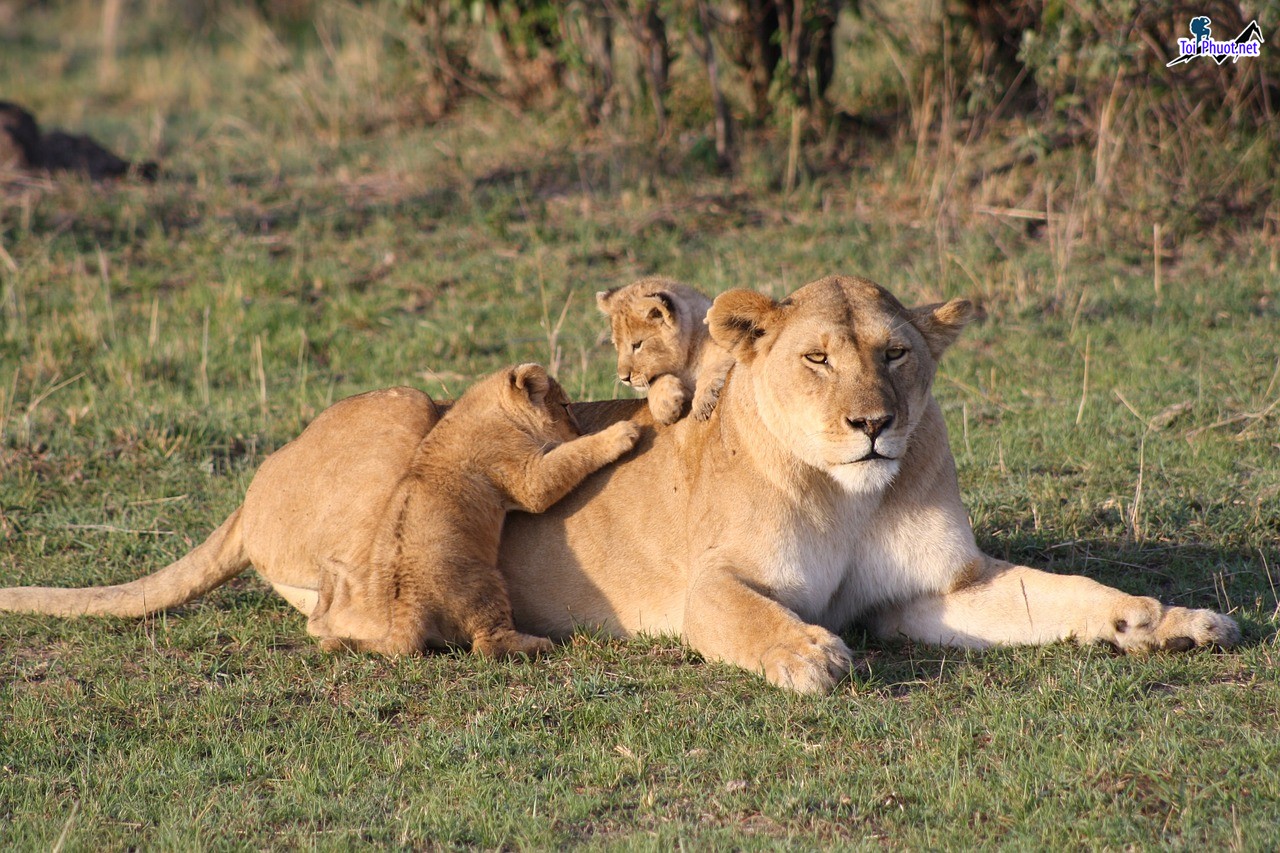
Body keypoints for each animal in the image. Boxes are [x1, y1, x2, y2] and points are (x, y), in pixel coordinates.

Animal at [0, 274, 1239, 691]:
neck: (849, 492)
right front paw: (804, 656)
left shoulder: (932, 591)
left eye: (893, 353)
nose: (872, 425)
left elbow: (1058, 592)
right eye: (814, 359)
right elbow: (746, 616)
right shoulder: (707, 586)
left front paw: (1159, 619)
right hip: (407, 415)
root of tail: (253, 481)